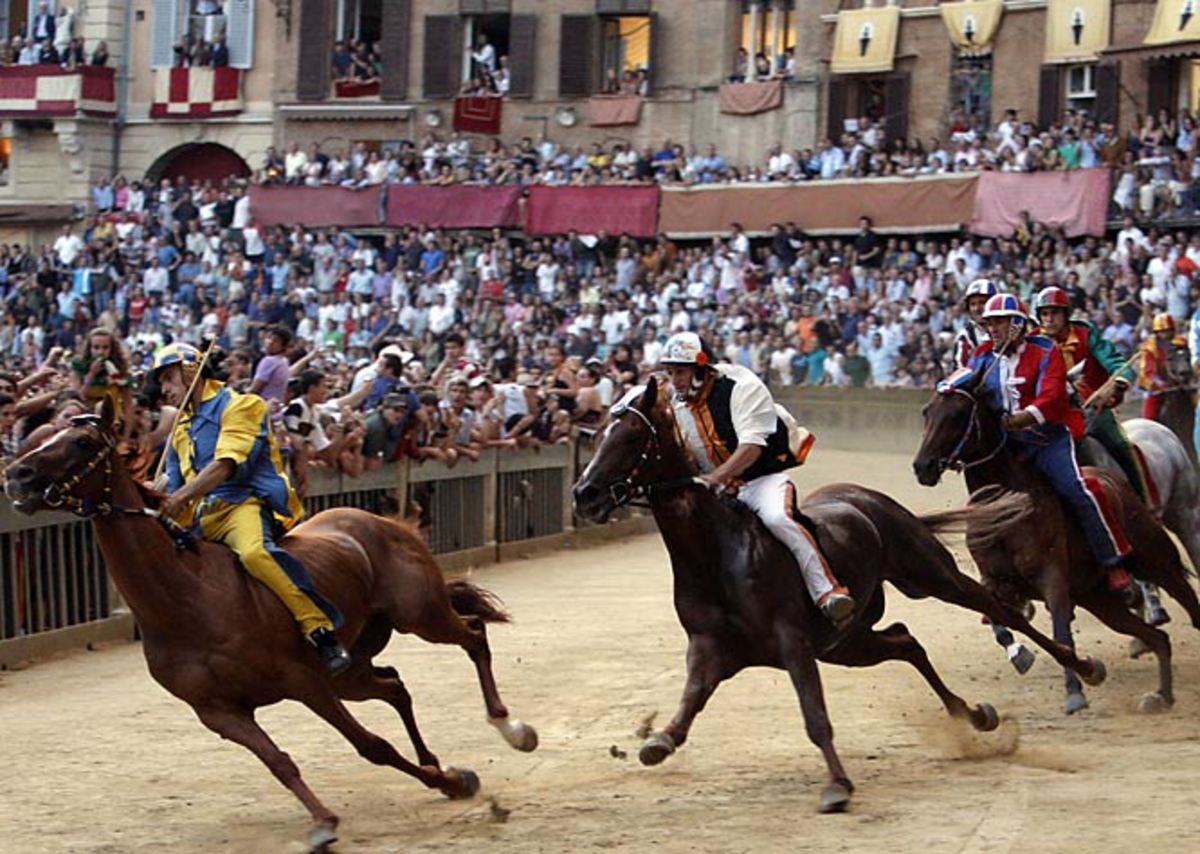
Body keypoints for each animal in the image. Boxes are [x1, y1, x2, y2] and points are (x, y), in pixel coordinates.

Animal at [0, 407, 535, 849]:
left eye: (81, 442)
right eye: (41, 435)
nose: (16, 474)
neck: (189, 602)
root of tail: (381, 521)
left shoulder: (303, 680)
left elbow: (371, 745)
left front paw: (442, 778)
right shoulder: (219, 711)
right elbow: (279, 761)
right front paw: (331, 818)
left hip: (419, 614)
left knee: (473, 634)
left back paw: (510, 726)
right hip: (353, 667)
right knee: (395, 685)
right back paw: (437, 763)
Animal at [571, 379, 1104, 815]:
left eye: (632, 437)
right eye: (595, 437)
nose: (584, 493)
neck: (715, 554)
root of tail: (870, 500)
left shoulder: (793, 641)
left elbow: (815, 717)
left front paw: (837, 785)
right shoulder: (711, 647)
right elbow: (688, 705)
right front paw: (657, 740)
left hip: (933, 576)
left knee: (1001, 612)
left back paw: (1082, 668)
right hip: (847, 643)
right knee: (906, 640)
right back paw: (974, 714)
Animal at [907, 376, 1200, 714]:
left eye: (957, 415)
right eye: (927, 411)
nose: (923, 466)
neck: (1008, 507)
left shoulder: (1053, 580)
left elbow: (1062, 633)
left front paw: (1075, 691)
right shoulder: (994, 579)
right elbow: (998, 621)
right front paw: (1021, 654)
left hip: (1164, 554)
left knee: (1188, 604)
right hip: (1100, 600)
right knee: (1158, 637)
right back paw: (1161, 695)